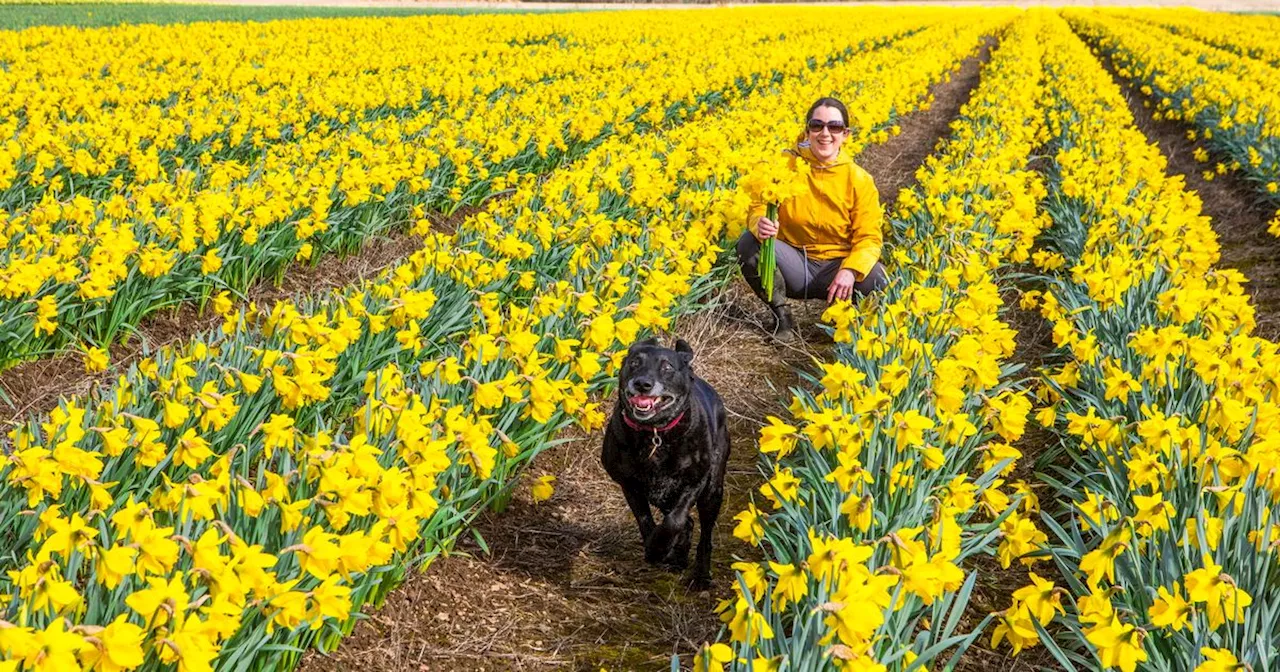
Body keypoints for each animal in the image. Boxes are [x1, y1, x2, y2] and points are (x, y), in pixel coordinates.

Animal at [599, 335, 732, 586]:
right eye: (634, 362)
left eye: (667, 367)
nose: (643, 384)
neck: (655, 433)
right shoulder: (630, 484)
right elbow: (646, 521)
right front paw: (656, 549)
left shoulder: (694, 481)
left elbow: (674, 521)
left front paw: (659, 548)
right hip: (665, 495)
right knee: (688, 524)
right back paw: (677, 558)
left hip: (712, 491)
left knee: (704, 535)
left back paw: (701, 576)